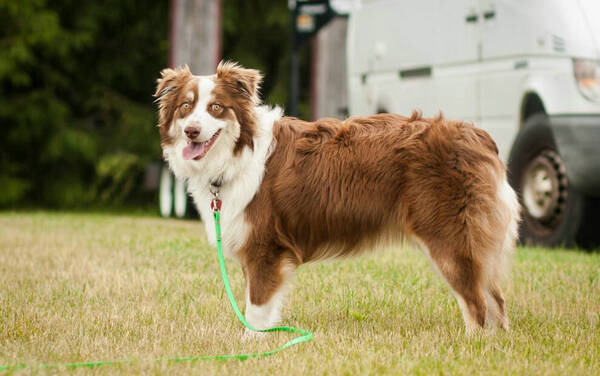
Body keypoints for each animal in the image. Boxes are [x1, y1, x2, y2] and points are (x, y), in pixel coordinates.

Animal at [155, 61, 520, 334]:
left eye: (216, 108)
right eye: (186, 107)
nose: (191, 131)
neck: (238, 152)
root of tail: (478, 135)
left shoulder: (265, 248)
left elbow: (256, 309)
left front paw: (252, 346)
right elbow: (257, 305)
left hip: (449, 239)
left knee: (477, 304)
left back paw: (474, 344)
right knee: (496, 300)